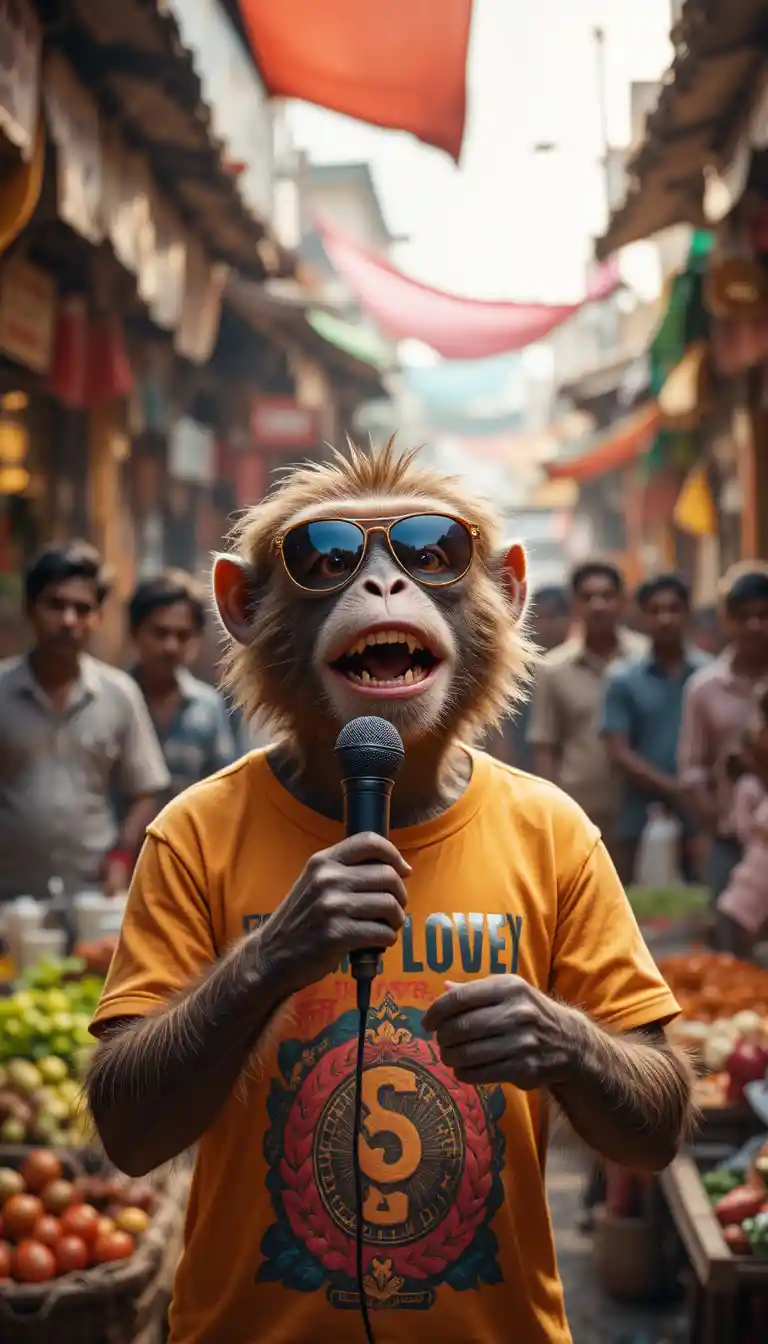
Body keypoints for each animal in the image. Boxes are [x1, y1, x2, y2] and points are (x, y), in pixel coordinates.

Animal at [86, 438, 694, 1344]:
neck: (396, 795)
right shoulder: (162, 841)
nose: (380, 583)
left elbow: (653, 1083)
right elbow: (125, 1094)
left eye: (429, 551)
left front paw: (518, 1025)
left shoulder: (586, 844)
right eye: (326, 558)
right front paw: (317, 916)